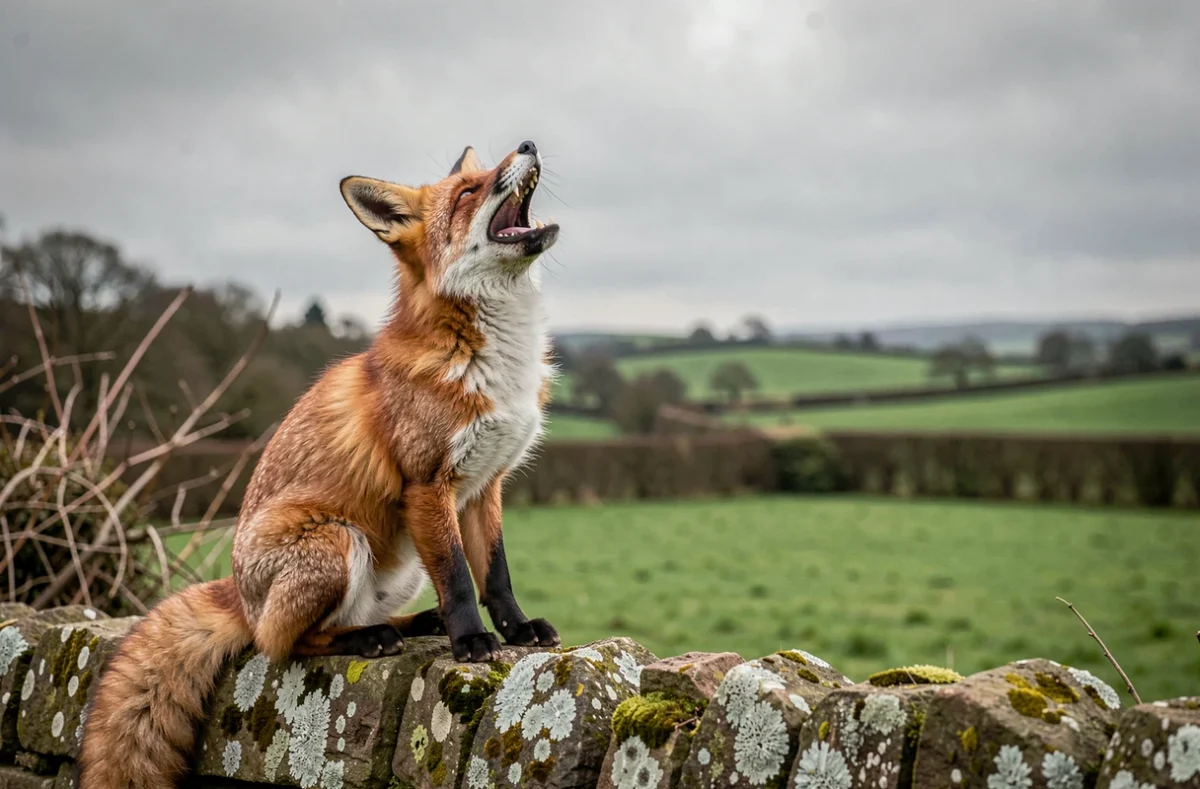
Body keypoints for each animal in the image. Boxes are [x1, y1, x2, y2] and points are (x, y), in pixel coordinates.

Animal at [78, 140, 562, 789]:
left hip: (399, 564)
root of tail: (237, 594)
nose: (530, 144)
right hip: (337, 541)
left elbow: (496, 574)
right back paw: (370, 640)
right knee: (284, 643)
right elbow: (462, 579)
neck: (491, 358)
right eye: (469, 191)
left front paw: (517, 631)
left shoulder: (486, 485)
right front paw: (472, 643)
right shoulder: (426, 485)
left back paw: (410, 627)